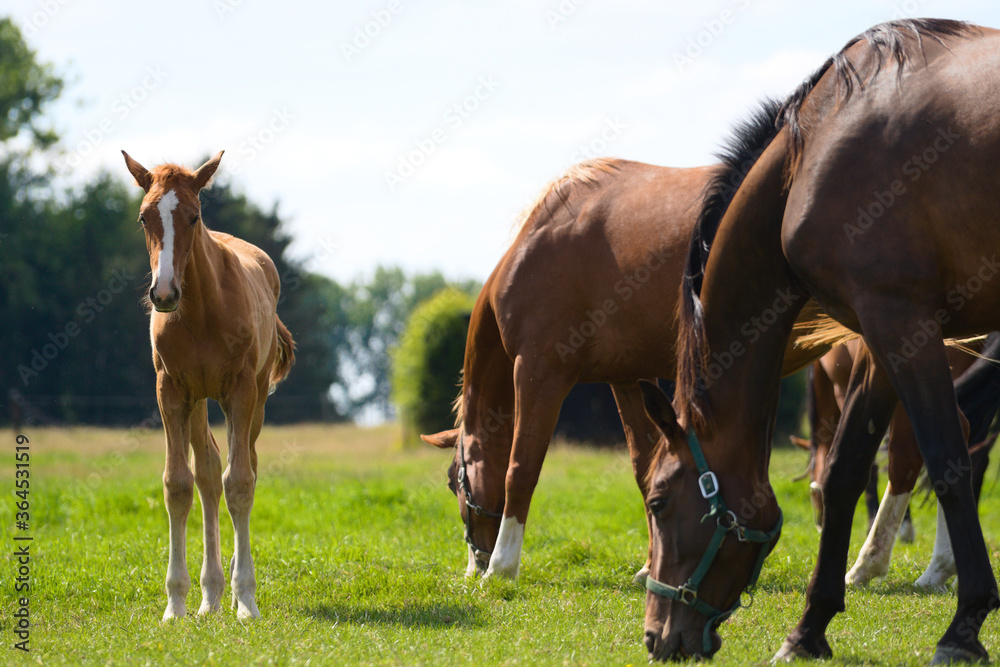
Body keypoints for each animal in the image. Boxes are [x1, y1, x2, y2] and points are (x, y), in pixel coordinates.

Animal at [122, 151, 295, 620]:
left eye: (194, 216)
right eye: (144, 217)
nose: (164, 293)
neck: (200, 310)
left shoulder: (240, 391)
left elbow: (240, 483)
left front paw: (247, 600)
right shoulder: (170, 392)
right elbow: (178, 484)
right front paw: (175, 604)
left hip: (254, 400)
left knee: (244, 466)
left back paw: (229, 590)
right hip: (198, 401)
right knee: (208, 471)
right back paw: (210, 595)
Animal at [421, 138, 823, 579]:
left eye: (452, 481)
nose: (474, 563)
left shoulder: (539, 372)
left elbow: (520, 469)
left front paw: (502, 566)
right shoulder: (629, 380)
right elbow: (645, 469)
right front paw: (650, 565)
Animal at [637, 19, 1000, 663]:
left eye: (657, 502)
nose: (658, 636)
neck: (818, 147)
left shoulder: (900, 319)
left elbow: (947, 460)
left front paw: (964, 628)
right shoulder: (882, 335)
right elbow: (845, 471)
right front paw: (810, 628)